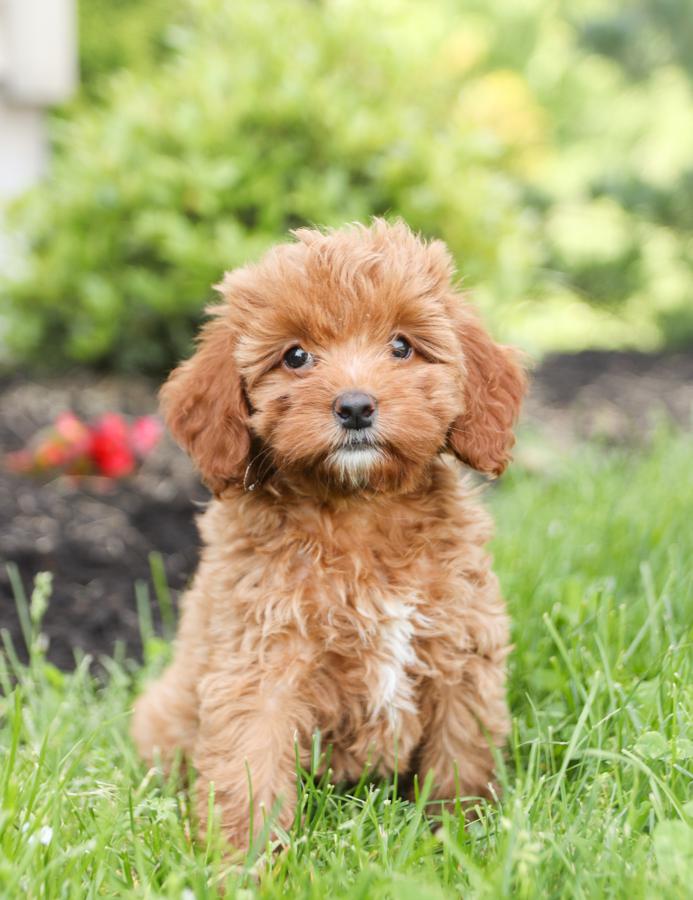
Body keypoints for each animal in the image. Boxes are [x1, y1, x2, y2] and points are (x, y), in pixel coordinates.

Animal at [132, 220, 528, 852]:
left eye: (402, 346)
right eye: (296, 356)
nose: (356, 406)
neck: (359, 509)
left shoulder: (462, 651)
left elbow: (461, 757)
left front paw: (458, 842)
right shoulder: (260, 665)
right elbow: (249, 768)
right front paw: (242, 862)